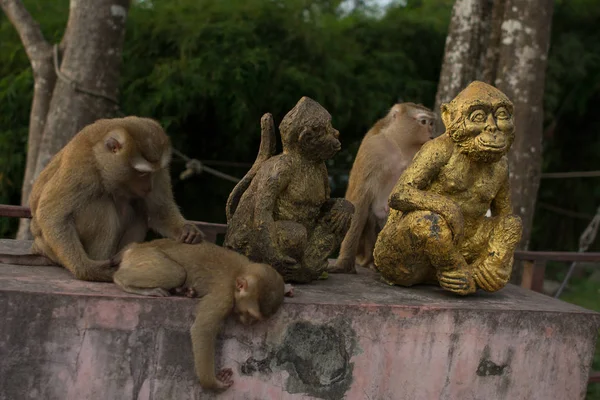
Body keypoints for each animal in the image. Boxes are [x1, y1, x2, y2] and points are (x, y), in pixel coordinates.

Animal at [0, 116, 204, 282]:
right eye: (141, 173)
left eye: (152, 173)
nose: (148, 187)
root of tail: (39, 248)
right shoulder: (82, 164)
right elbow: (52, 214)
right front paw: (88, 270)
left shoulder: (160, 170)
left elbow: (158, 210)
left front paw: (186, 230)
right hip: (53, 248)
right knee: (100, 206)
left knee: (137, 208)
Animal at [115, 239, 288, 392]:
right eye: (250, 314)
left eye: (256, 318)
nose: (249, 323)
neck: (239, 274)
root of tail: (136, 247)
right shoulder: (224, 296)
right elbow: (203, 329)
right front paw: (213, 383)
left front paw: (288, 289)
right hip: (144, 256)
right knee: (177, 273)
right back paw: (123, 281)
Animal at [332, 101, 436, 274]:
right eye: (423, 122)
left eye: (431, 123)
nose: (432, 133)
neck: (401, 146)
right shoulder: (373, 148)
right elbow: (360, 201)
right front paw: (344, 262)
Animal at [372, 81, 524, 296]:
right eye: (478, 117)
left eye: (502, 114)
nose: (492, 128)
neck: (471, 155)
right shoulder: (435, 148)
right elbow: (402, 191)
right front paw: (454, 213)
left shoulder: (505, 166)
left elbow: (506, 213)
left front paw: (499, 273)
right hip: (389, 257)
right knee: (428, 219)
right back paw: (457, 275)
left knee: (512, 222)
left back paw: (486, 271)